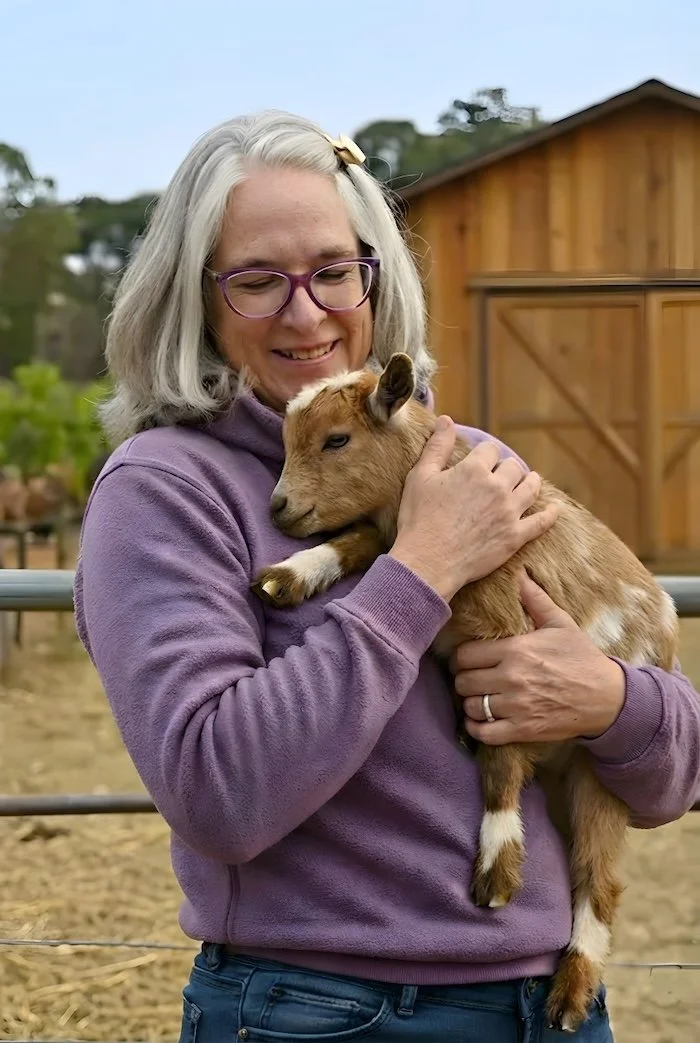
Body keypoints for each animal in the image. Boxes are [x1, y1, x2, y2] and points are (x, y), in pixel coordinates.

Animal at [251, 352, 679, 1032]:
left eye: (337, 440)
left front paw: (498, 870)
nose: (280, 508)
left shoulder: (510, 635)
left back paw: (571, 993)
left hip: (600, 773)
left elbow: (501, 763)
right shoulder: (405, 541)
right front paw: (291, 575)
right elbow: (364, 544)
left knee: (599, 879)